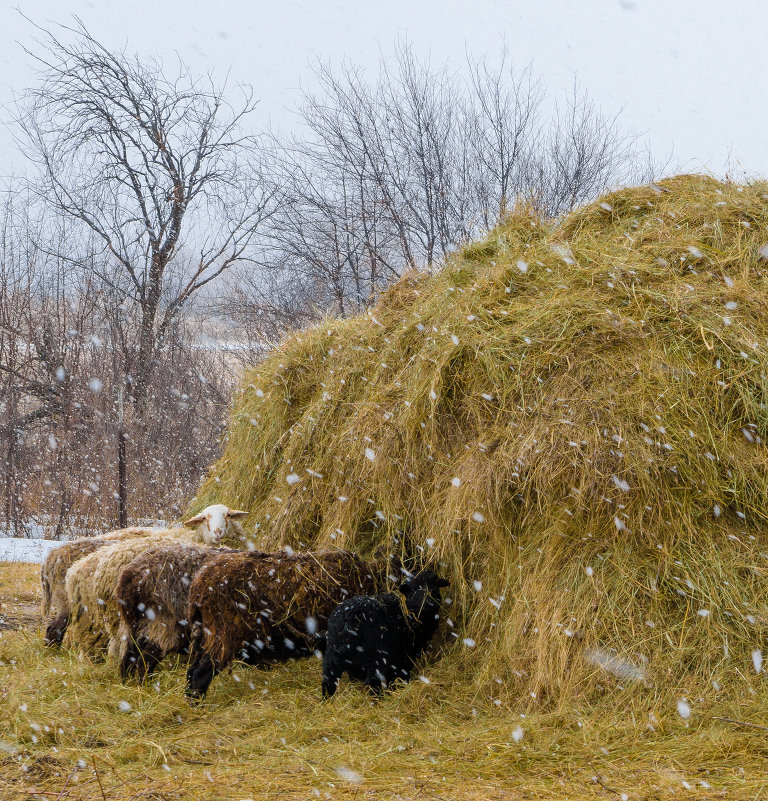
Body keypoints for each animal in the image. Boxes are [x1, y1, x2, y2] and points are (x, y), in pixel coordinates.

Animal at [320, 564, 450, 696]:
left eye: (435, 587)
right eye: (413, 589)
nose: (428, 603)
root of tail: (350, 617)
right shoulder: (404, 653)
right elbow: (401, 672)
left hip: (332, 655)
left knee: (328, 681)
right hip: (375, 657)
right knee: (373, 682)